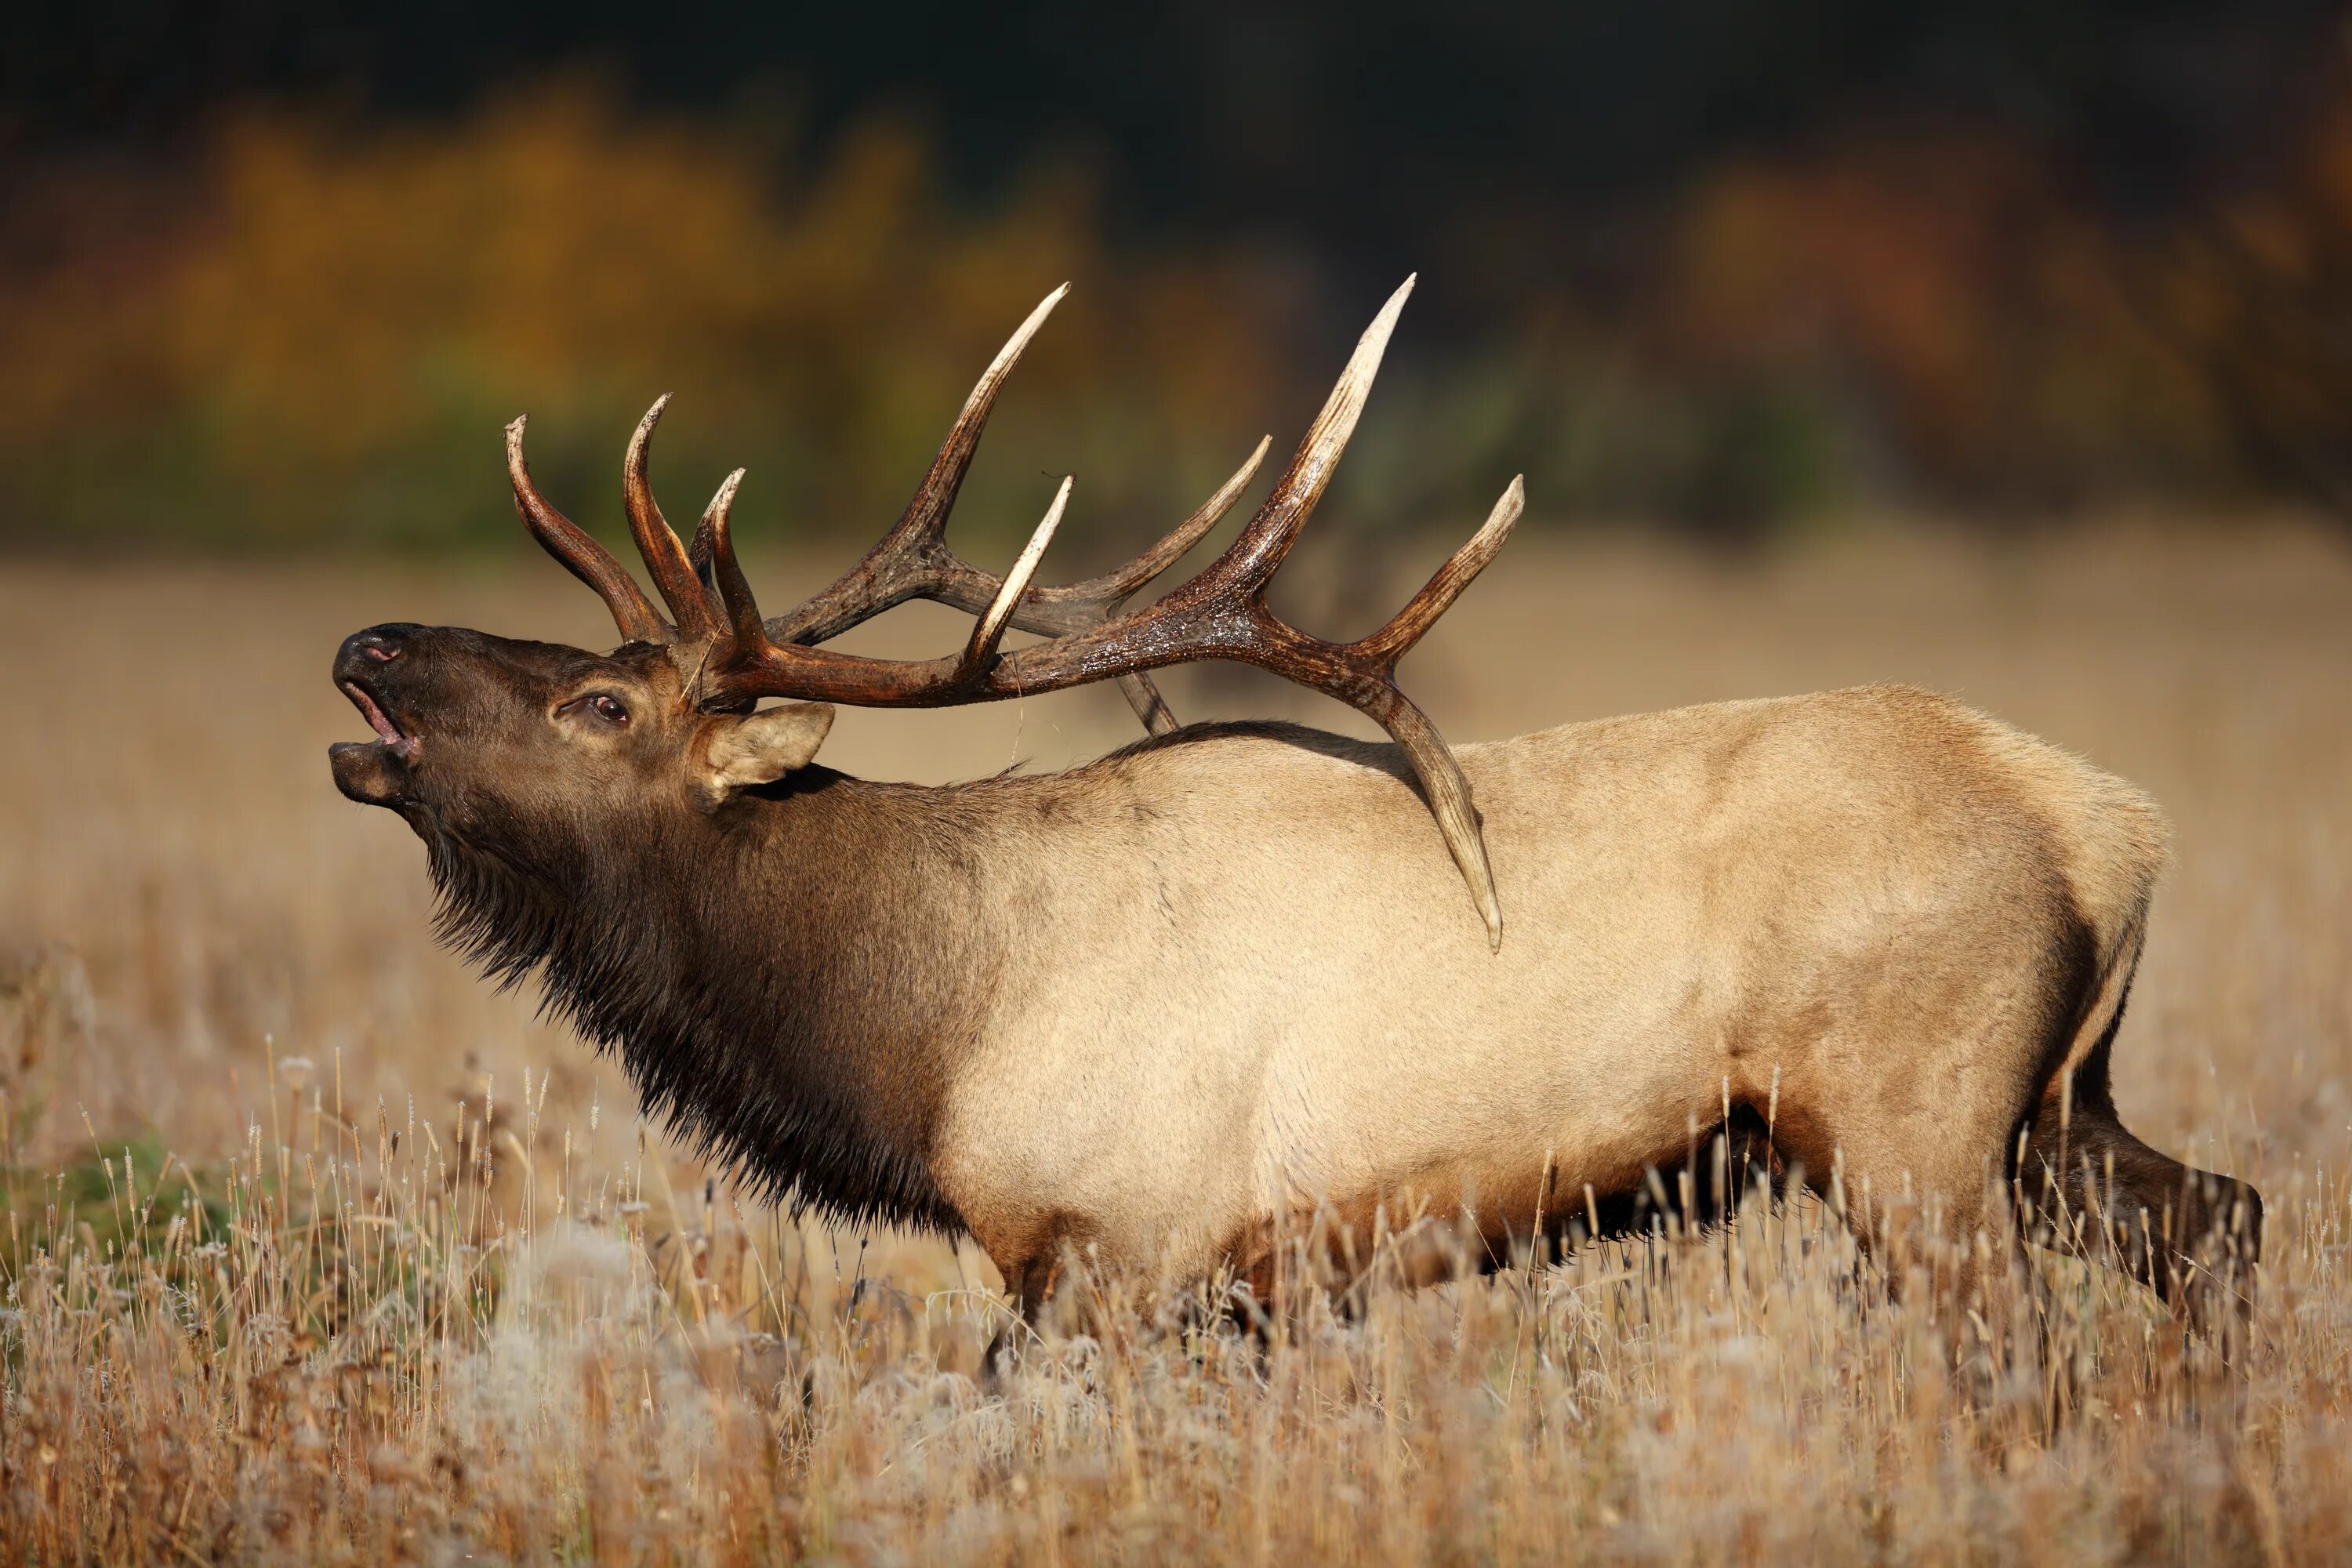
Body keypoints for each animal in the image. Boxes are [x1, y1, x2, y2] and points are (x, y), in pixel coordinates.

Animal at [332, 278, 2258, 1335]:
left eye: (603, 702)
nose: (366, 645)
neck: (920, 1030)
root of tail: (2113, 828)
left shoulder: (1116, 1244)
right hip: (2050, 1109)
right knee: (2222, 1217)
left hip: (1910, 1119)